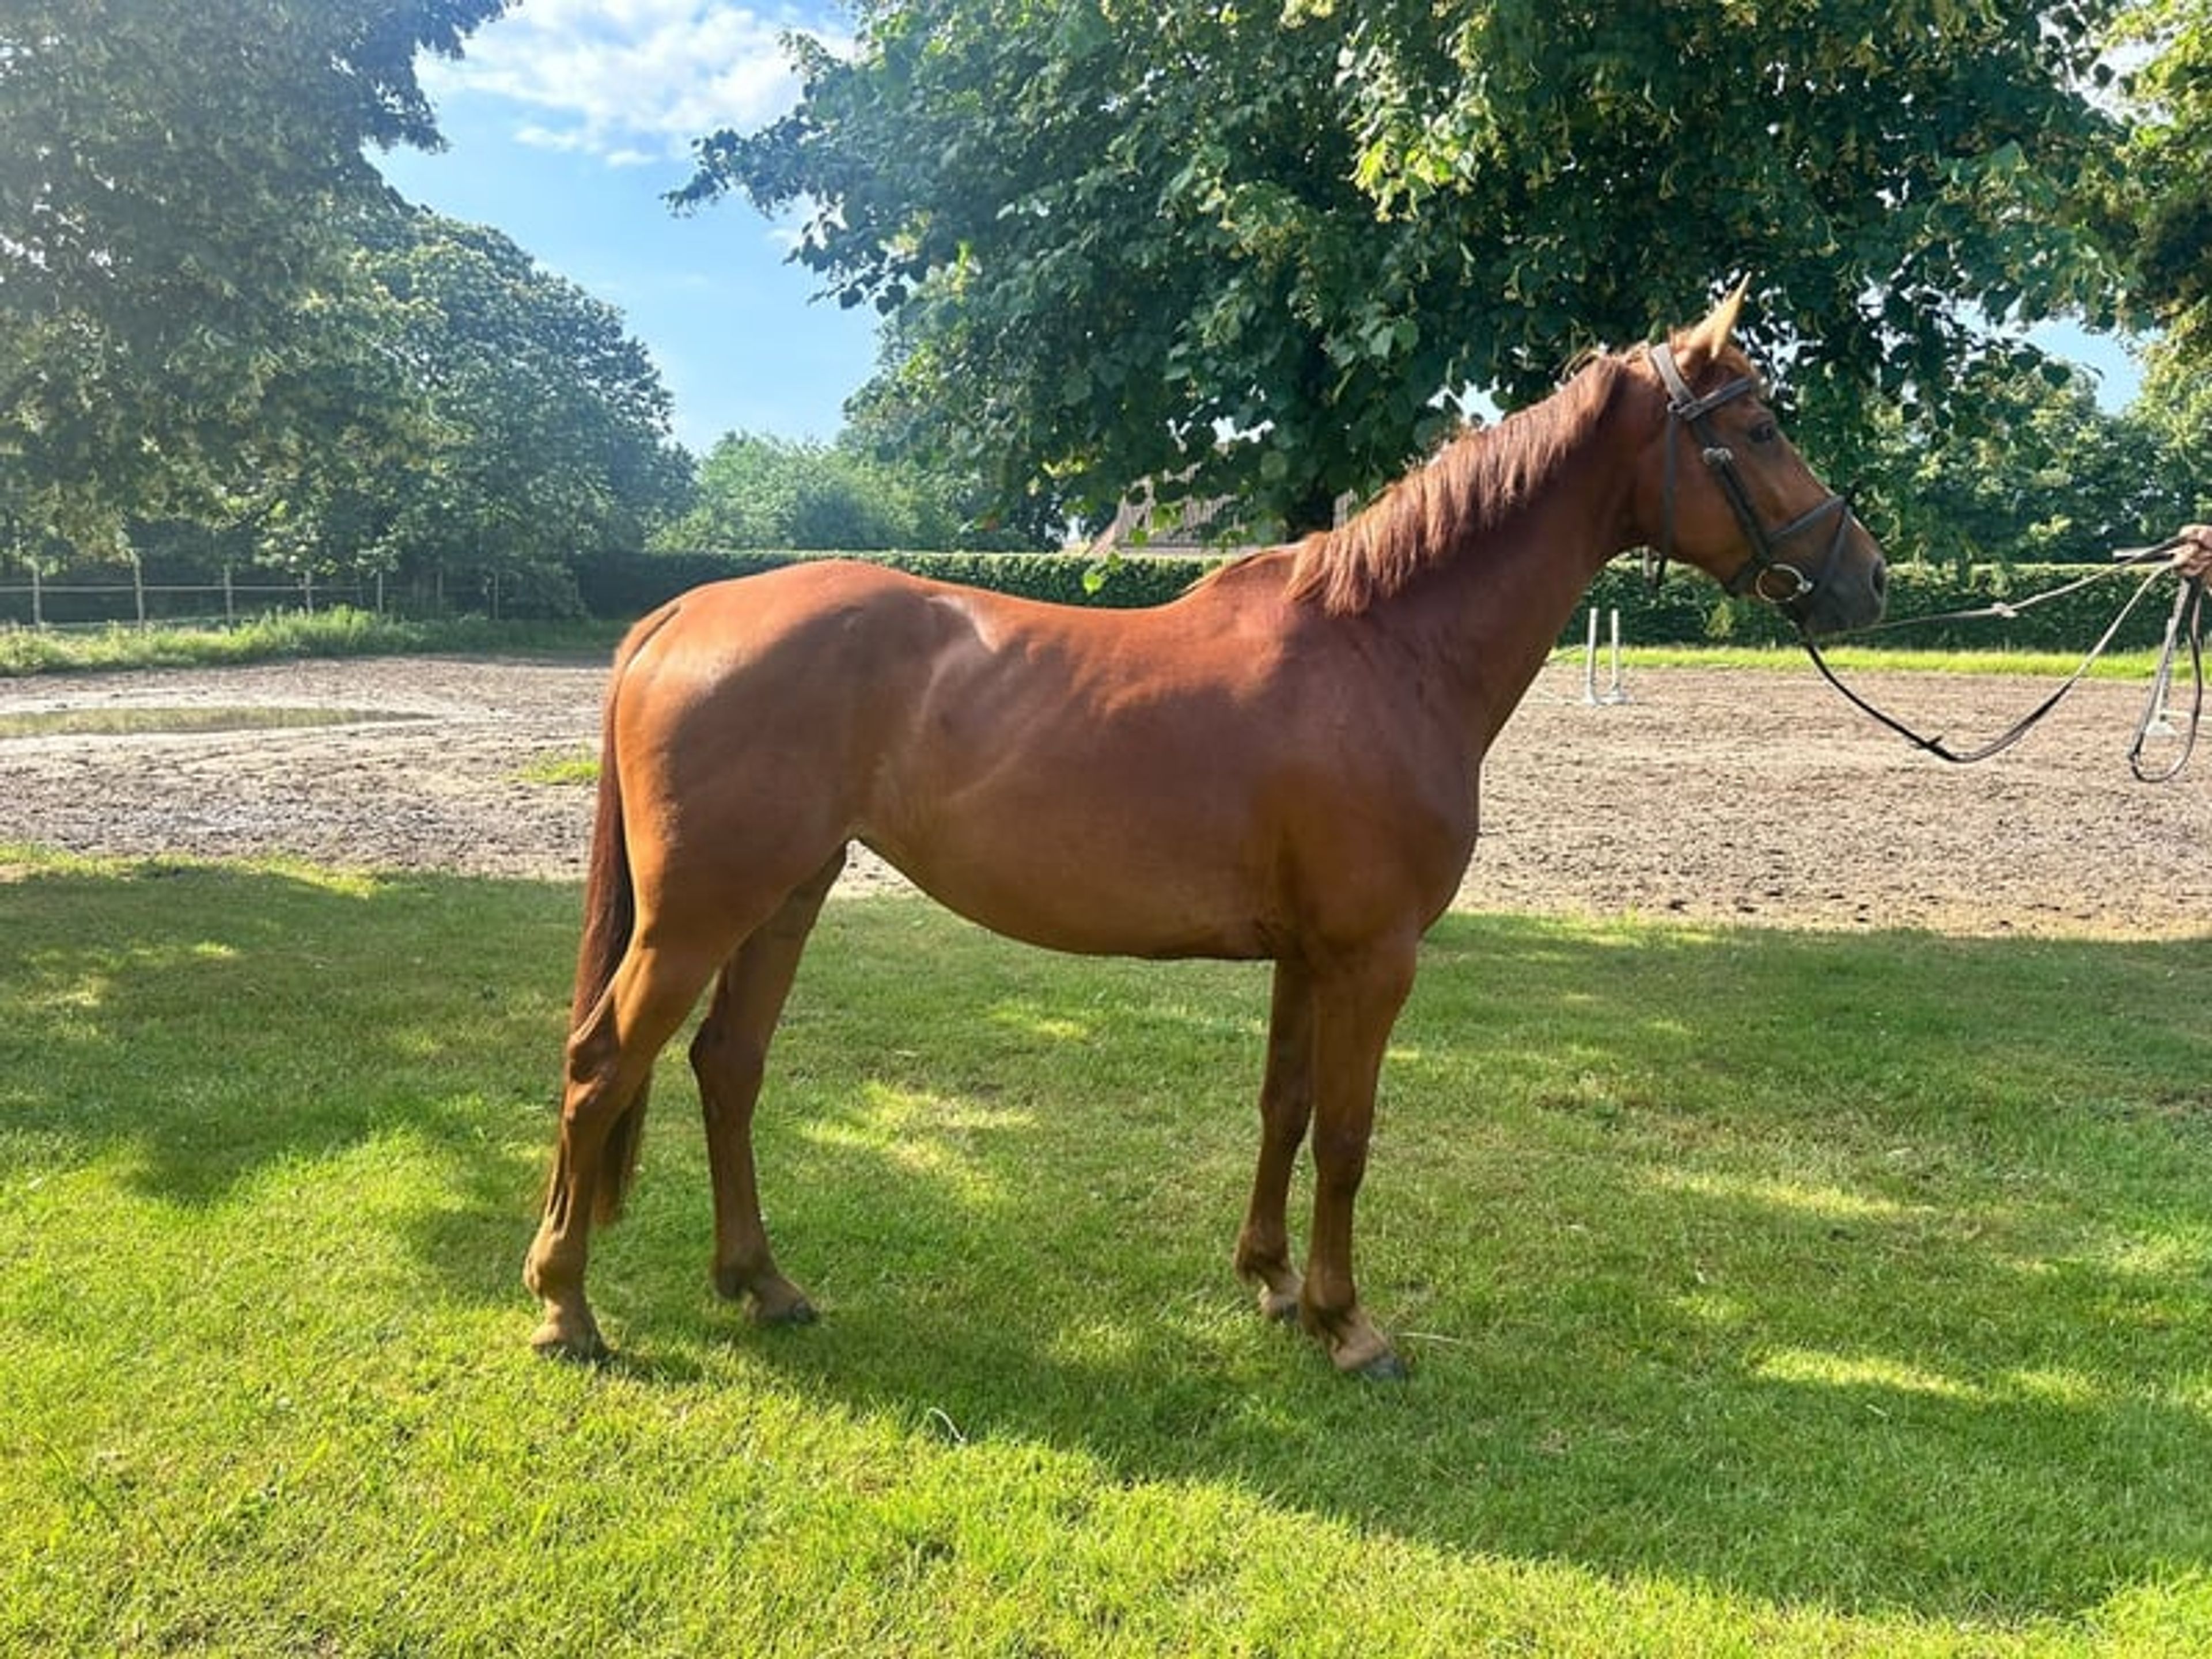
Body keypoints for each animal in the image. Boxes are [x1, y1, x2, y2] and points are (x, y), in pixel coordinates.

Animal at [524, 288, 1888, 1380]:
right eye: (1760, 428)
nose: (1867, 577)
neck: (1383, 651)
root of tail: (686, 610)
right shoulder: (1375, 957)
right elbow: (1348, 1136)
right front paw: (1350, 1325)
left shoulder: (1309, 956)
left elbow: (1283, 1108)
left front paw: (1275, 1285)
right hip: (702, 912)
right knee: (603, 1066)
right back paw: (565, 1310)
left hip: (785, 895)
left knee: (725, 1067)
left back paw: (761, 1284)